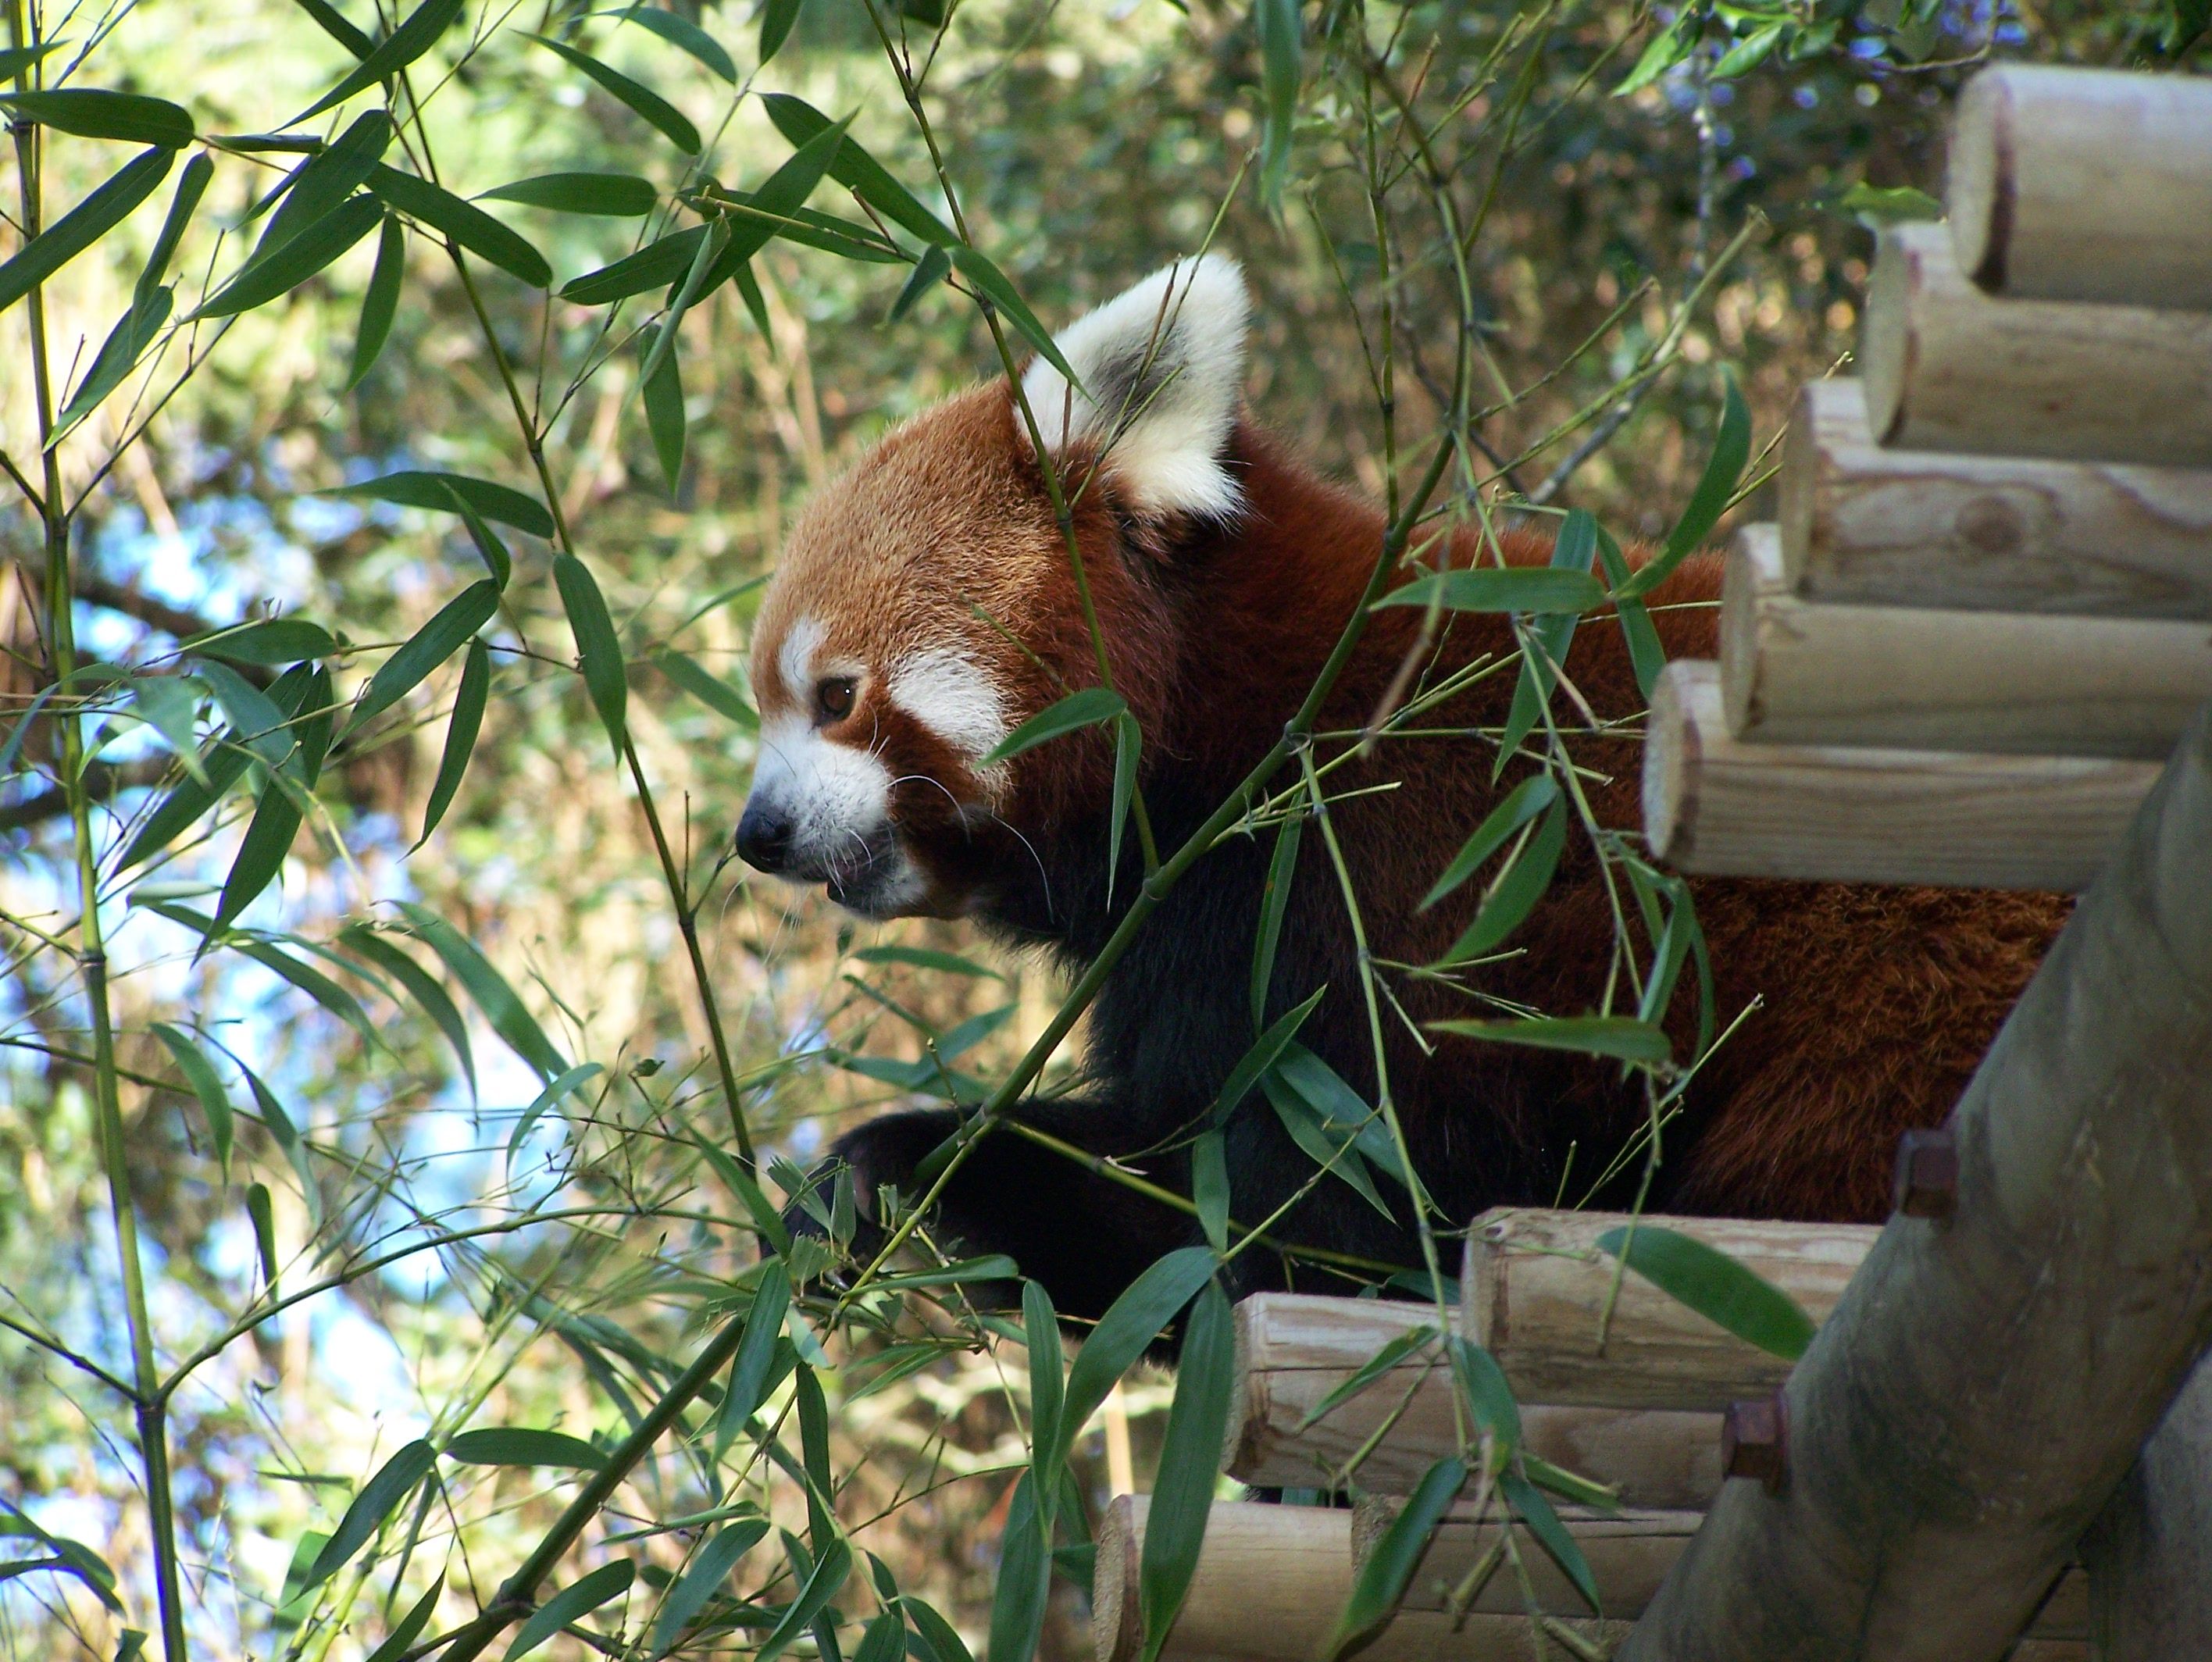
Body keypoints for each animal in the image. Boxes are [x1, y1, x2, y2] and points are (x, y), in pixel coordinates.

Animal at [743, 253, 2070, 1318]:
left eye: (835, 695)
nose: (757, 833)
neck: (1249, 737)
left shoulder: (1385, 903)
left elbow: (1317, 1219)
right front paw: (868, 1180)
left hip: (1884, 1004)